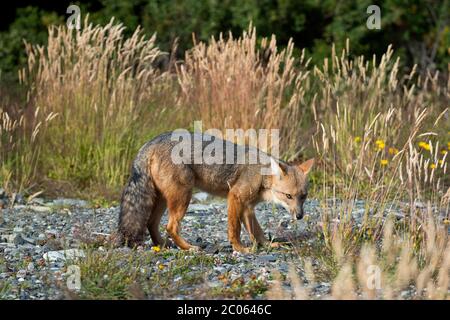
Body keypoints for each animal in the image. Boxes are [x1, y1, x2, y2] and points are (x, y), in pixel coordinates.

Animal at [119, 131, 314, 252]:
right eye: (288, 196)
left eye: (303, 197)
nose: (299, 216)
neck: (261, 173)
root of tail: (151, 142)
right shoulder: (235, 197)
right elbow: (234, 228)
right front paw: (239, 248)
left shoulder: (248, 207)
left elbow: (257, 231)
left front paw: (267, 245)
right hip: (183, 198)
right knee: (170, 226)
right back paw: (188, 248)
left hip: (162, 200)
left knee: (151, 223)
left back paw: (163, 244)